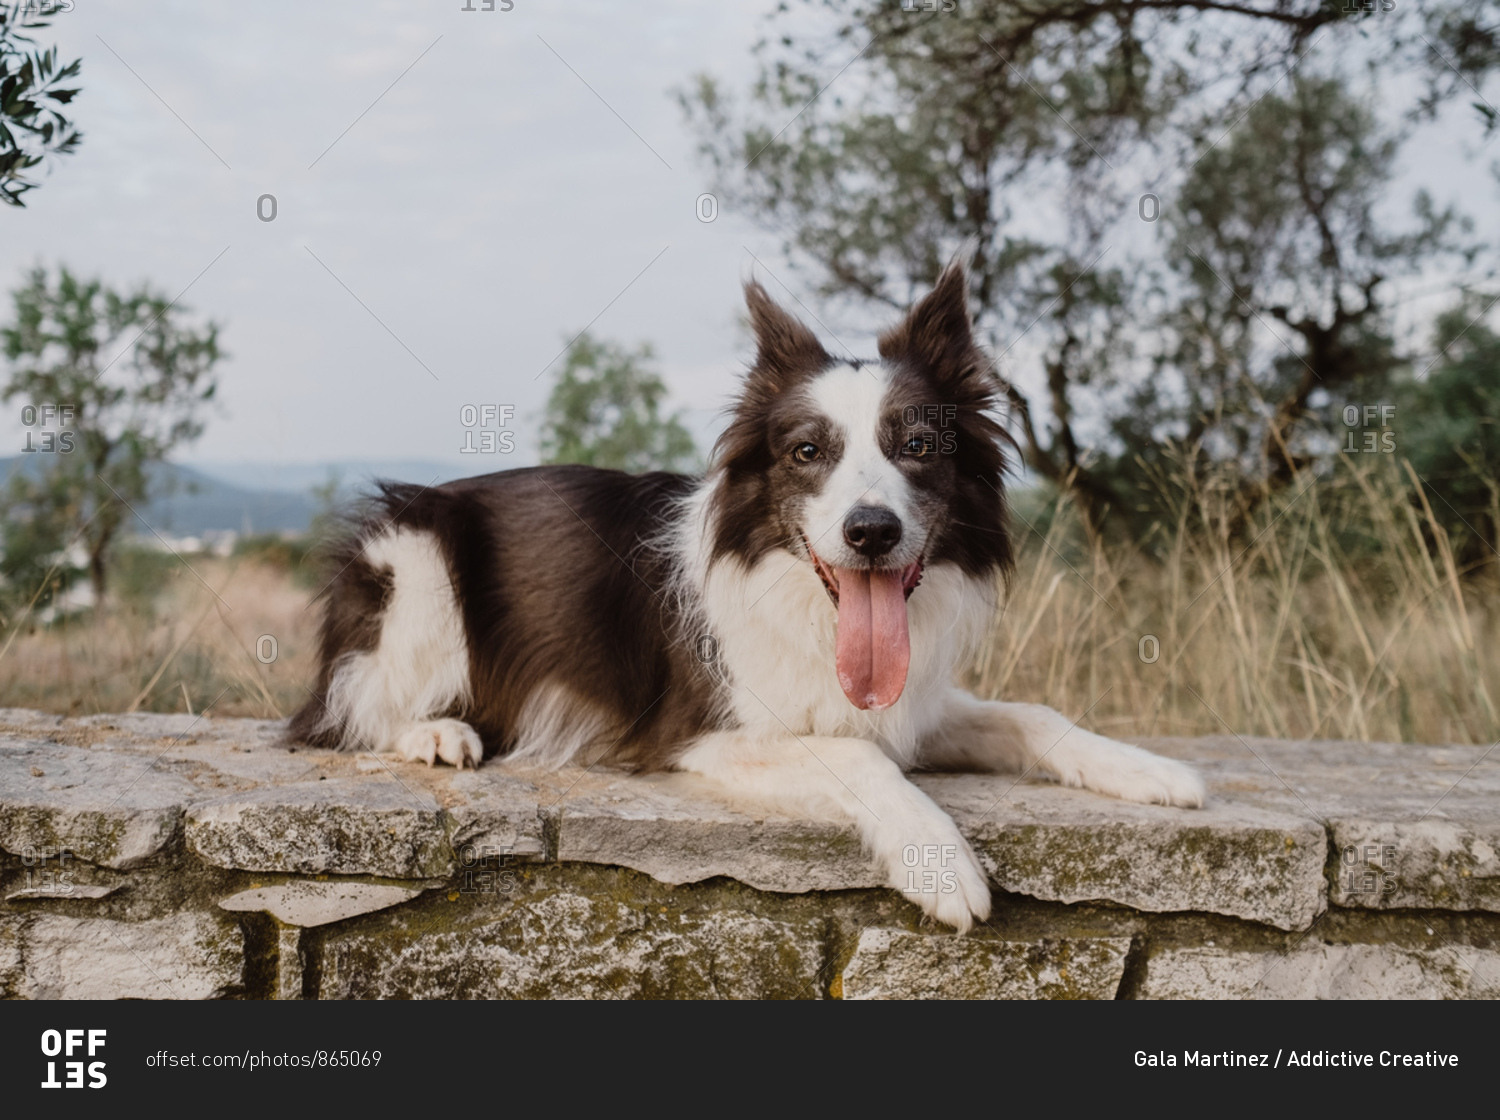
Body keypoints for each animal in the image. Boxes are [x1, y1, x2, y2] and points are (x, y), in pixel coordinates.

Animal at [289, 257, 1206, 935]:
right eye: (806, 451)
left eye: (917, 446)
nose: (871, 532)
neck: (804, 601)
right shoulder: (704, 734)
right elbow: (857, 755)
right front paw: (937, 858)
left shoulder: (905, 703)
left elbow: (1030, 716)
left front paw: (1148, 768)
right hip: (417, 563)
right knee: (342, 713)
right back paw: (437, 732)